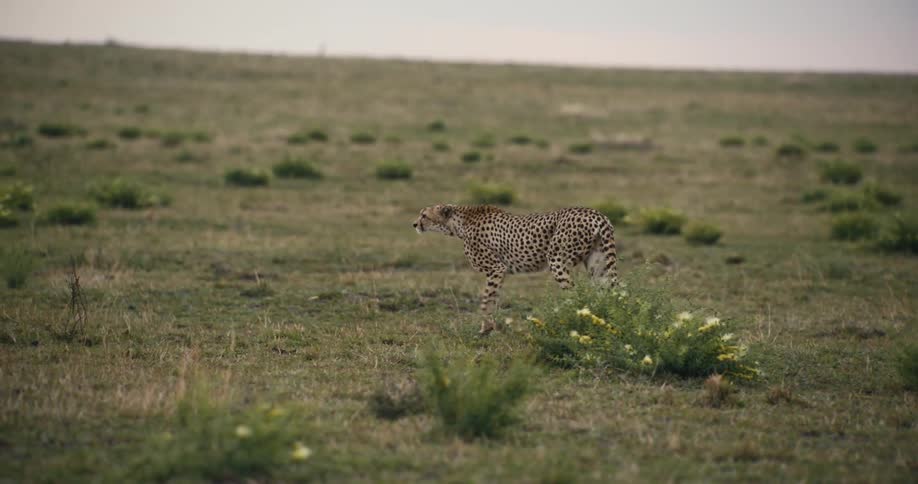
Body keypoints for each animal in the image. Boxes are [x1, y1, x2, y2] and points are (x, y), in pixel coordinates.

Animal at [413, 204, 618, 334]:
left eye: (424, 215)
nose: (414, 224)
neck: (459, 223)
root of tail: (597, 214)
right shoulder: (499, 272)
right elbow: (493, 298)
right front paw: (492, 327)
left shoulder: (496, 268)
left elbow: (486, 299)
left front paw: (485, 328)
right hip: (598, 266)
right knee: (603, 294)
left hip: (557, 260)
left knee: (574, 294)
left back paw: (569, 322)